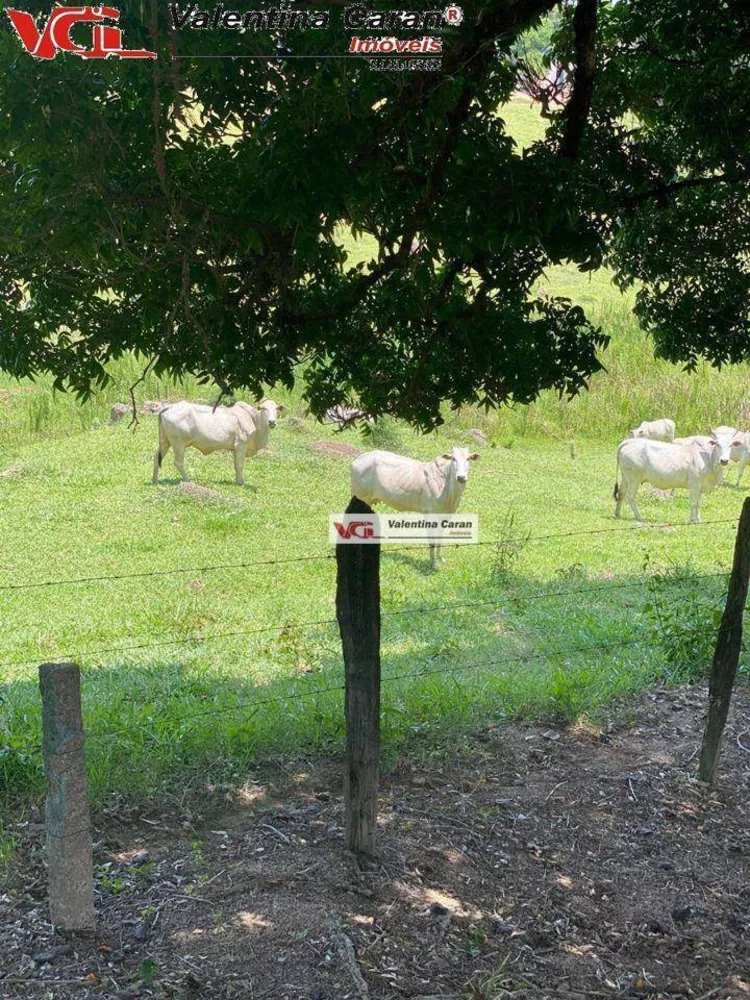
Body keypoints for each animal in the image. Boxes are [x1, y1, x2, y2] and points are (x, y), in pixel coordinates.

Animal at [154, 402, 284, 488]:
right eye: (264, 408)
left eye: (276, 409)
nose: (272, 422)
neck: (252, 419)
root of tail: (169, 407)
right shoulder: (241, 445)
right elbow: (239, 466)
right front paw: (240, 482)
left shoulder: (235, 449)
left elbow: (236, 465)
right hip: (178, 443)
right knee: (178, 463)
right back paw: (188, 481)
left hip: (165, 441)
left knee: (156, 458)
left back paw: (154, 480)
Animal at [352, 448, 482, 572]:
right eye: (453, 458)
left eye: (468, 458)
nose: (461, 477)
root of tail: (358, 459)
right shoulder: (430, 515)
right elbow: (432, 542)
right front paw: (433, 564)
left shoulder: (447, 515)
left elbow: (440, 539)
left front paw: (441, 559)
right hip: (361, 498)